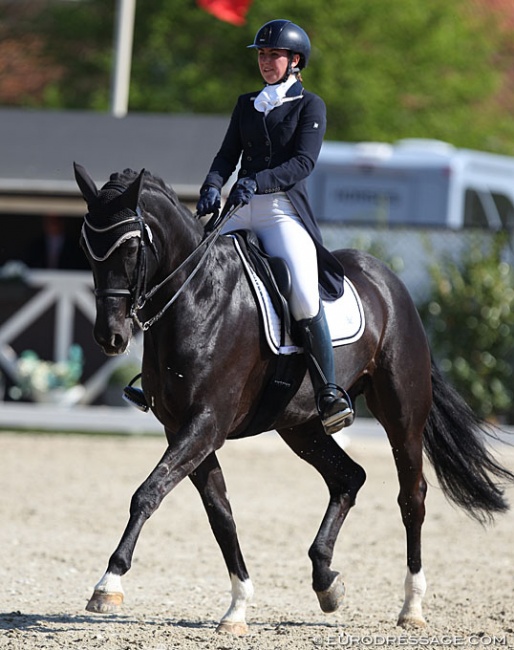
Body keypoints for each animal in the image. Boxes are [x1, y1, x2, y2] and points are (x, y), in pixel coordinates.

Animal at [74, 163, 510, 632]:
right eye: (87, 247)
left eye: (131, 245)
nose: (110, 337)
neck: (197, 298)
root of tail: (389, 280)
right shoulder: (183, 429)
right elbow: (219, 513)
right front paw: (238, 606)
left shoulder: (206, 424)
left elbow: (148, 492)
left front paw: (108, 583)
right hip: (301, 427)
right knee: (348, 478)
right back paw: (326, 581)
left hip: (402, 417)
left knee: (412, 497)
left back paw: (411, 607)